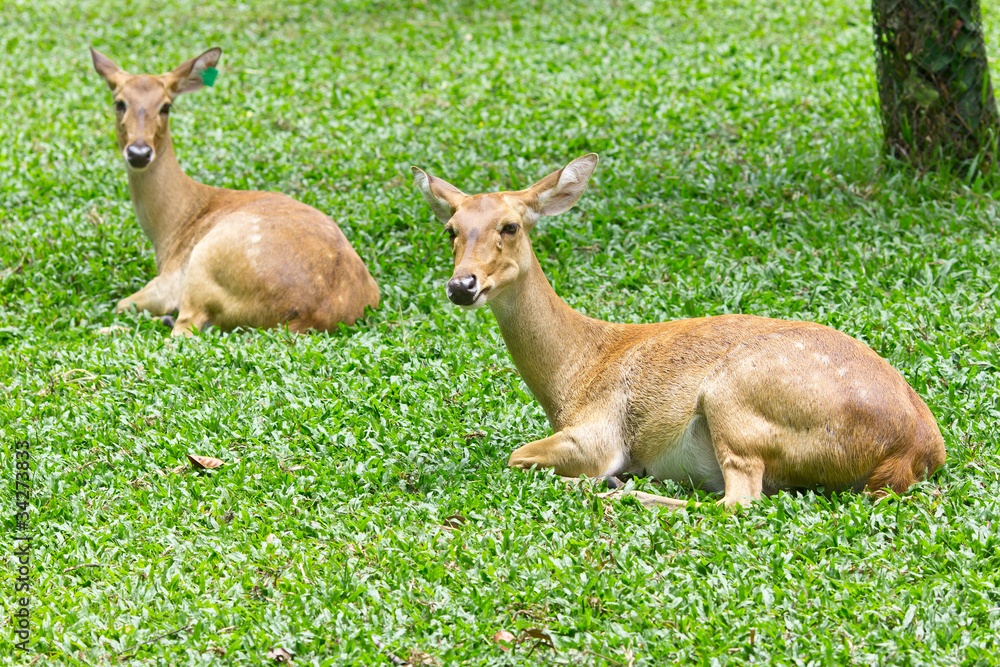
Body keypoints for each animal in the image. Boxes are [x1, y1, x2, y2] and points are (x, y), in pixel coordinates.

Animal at [91, 47, 378, 336]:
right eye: (119, 103)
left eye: (166, 106)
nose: (139, 153)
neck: (172, 229)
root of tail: (307, 318)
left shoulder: (168, 283)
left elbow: (122, 304)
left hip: (203, 265)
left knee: (183, 330)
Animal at [412, 155, 944, 512]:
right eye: (451, 229)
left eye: (510, 226)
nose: (462, 285)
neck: (573, 374)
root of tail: (916, 450)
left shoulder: (599, 432)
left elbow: (516, 455)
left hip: (734, 398)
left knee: (739, 501)